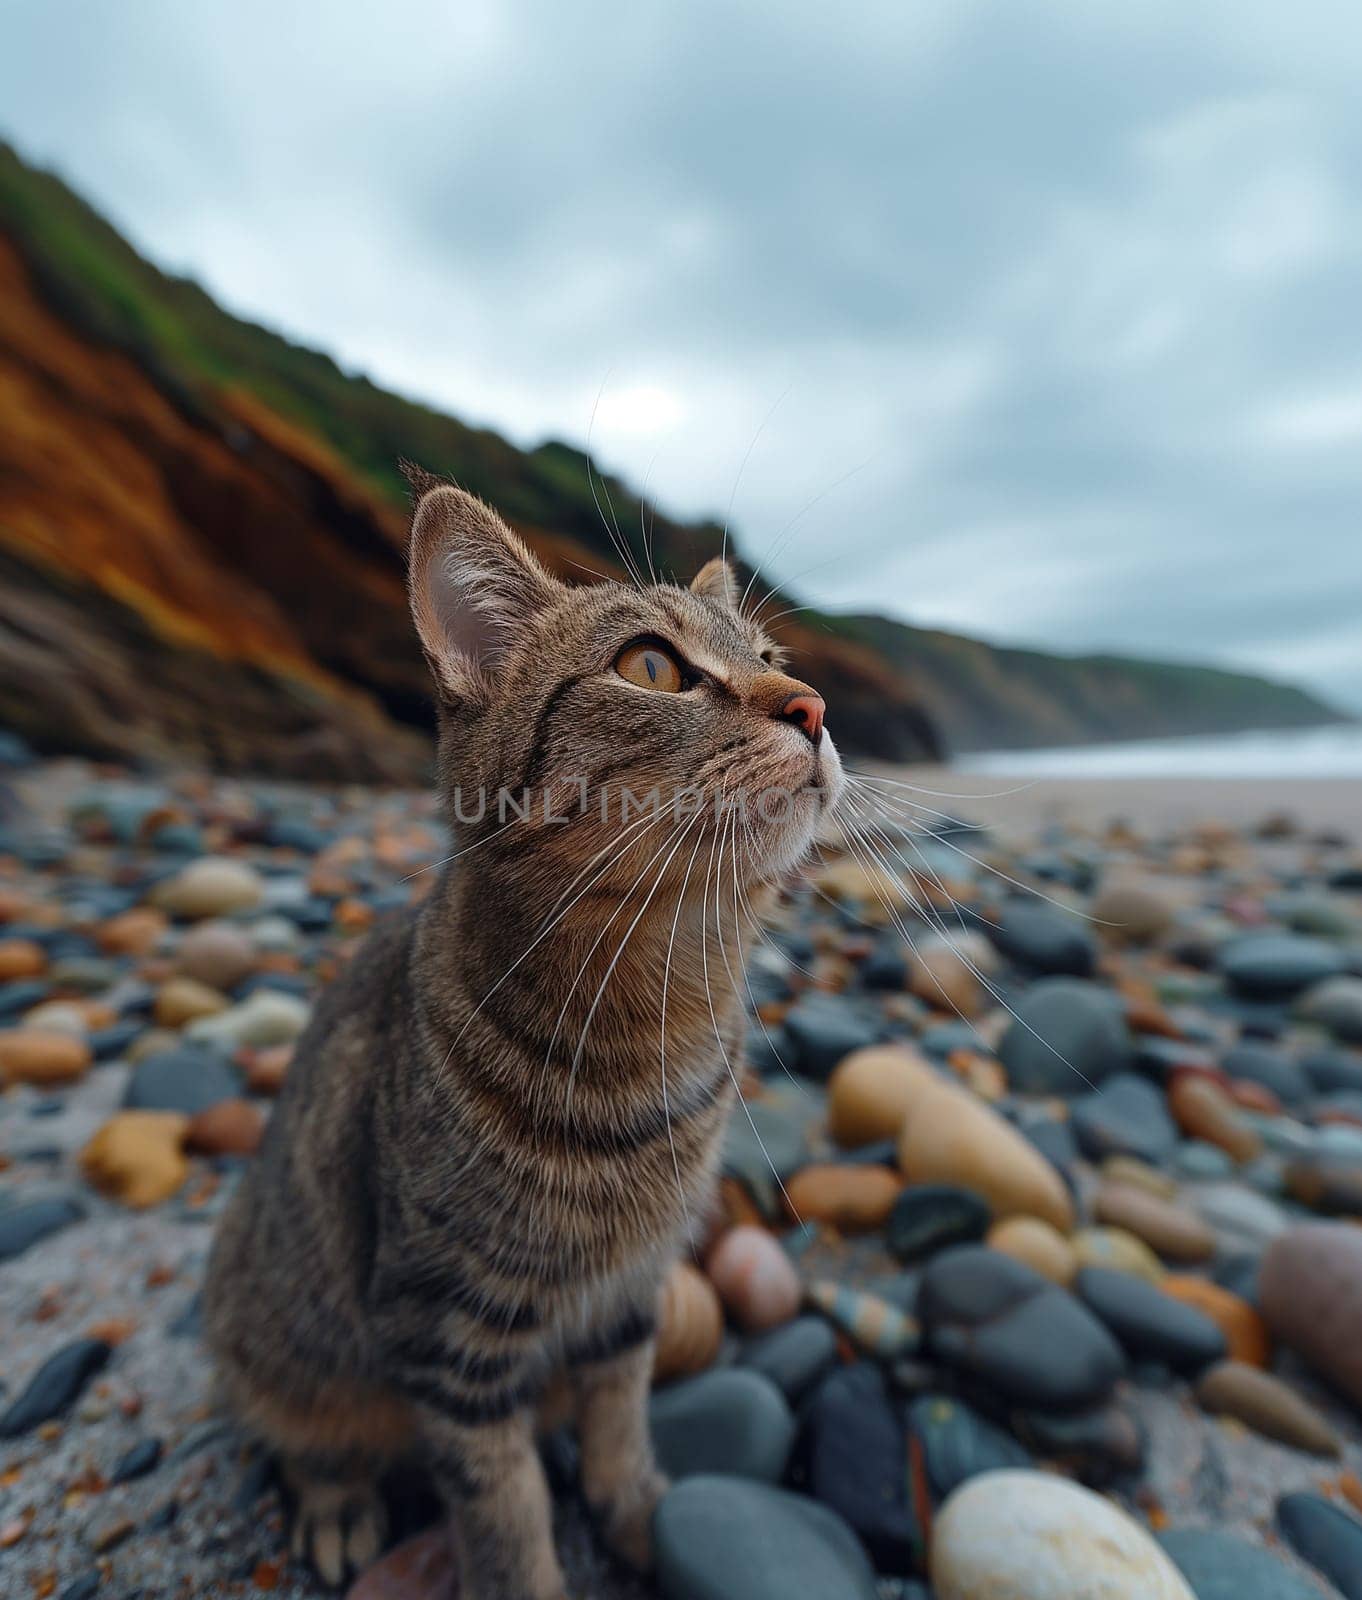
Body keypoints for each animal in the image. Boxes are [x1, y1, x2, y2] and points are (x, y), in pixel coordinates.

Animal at [202, 476, 838, 1600]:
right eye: (650, 666)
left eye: (773, 657)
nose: (813, 706)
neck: (653, 1030)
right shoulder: (448, 1330)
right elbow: (502, 1507)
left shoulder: (631, 1291)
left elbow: (621, 1419)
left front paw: (640, 1516)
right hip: (280, 1320)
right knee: (297, 1424)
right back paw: (336, 1501)